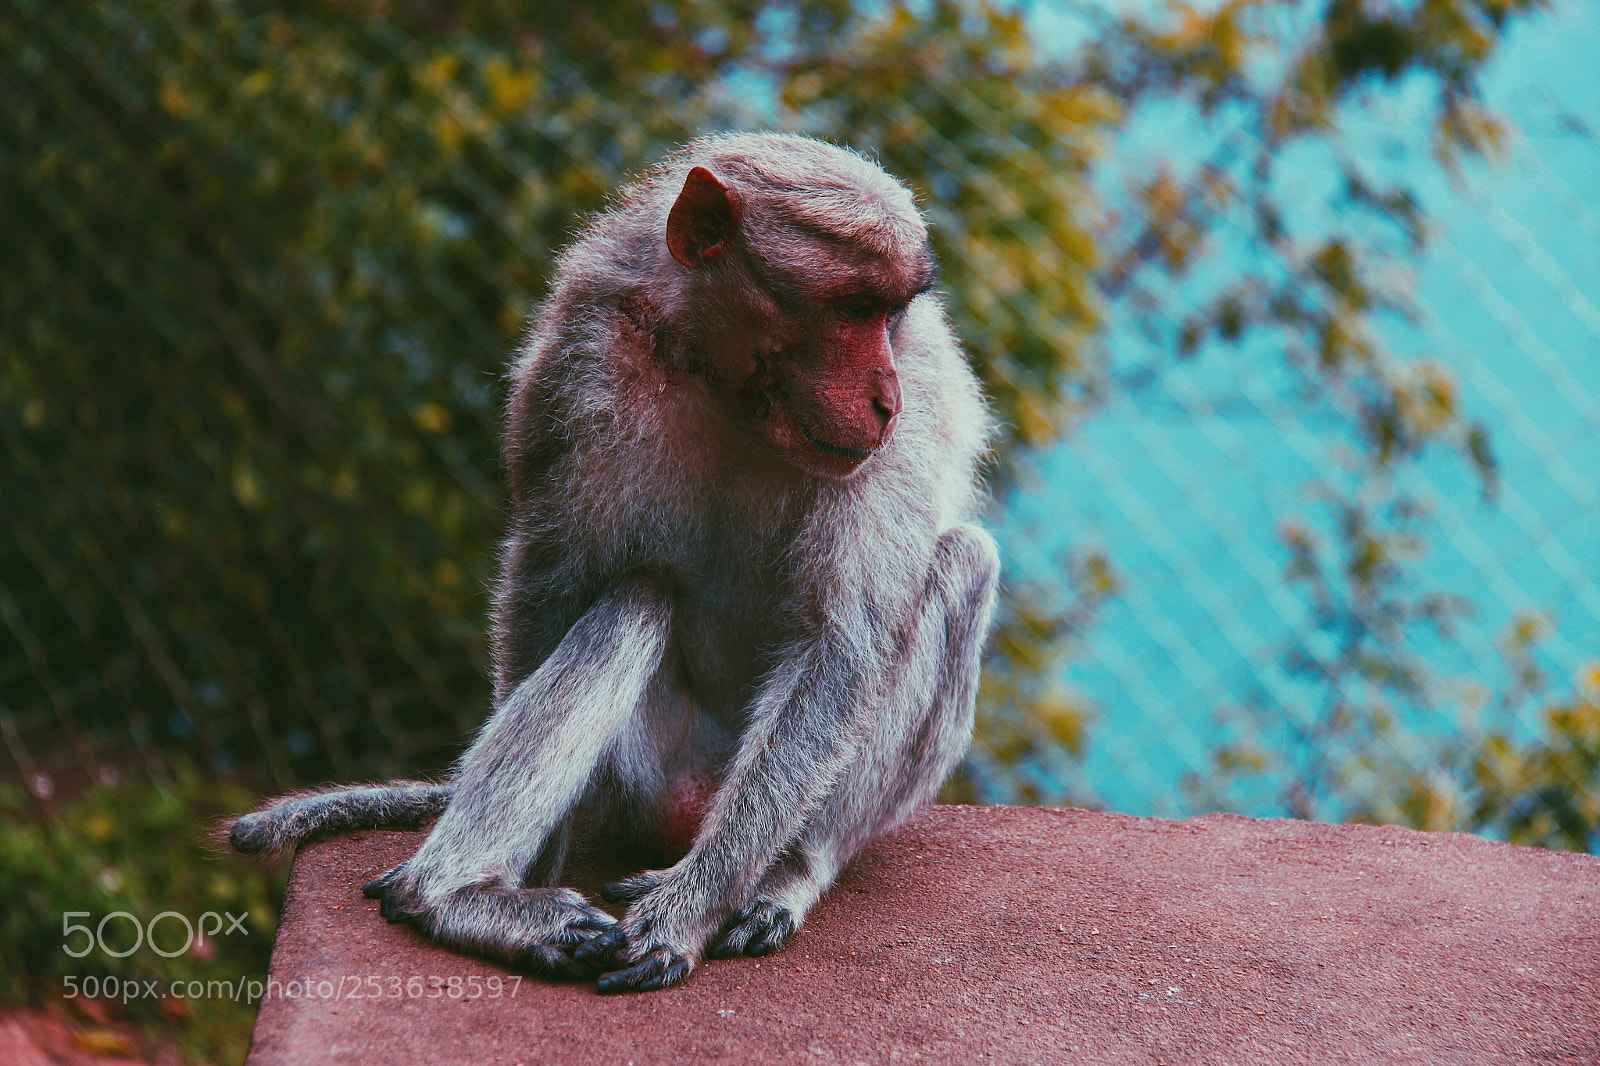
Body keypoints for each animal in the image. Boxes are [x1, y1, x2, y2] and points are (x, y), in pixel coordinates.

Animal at [228, 132, 999, 994]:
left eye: (891, 315)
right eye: (852, 310)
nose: (884, 401)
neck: (728, 390)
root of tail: (687, 812)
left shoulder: (912, 410)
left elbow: (842, 646)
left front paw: (687, 912)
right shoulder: (582, 351)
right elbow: (551, 575)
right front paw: (527, 873)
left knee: (962, 563)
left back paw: (784, 871)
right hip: (639, 773)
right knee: (636, 595)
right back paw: (454, 895)